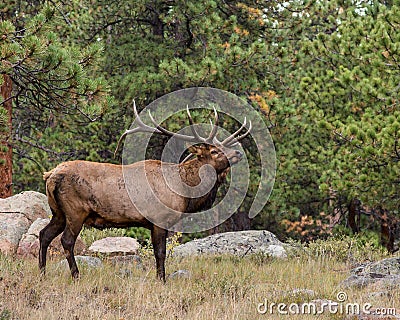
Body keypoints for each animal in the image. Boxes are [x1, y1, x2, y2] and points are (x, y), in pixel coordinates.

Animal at [37, 104, 250, 282]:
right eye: (214, 151)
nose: (238, 153)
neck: (185, 192)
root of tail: (51, 175)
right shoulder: (160, 219)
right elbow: (160, 253)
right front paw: (161, 280)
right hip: (75, 211)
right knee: (66, 241)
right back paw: (76, 276)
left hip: (58, 212)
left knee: (44, 234)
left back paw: (42, 273)